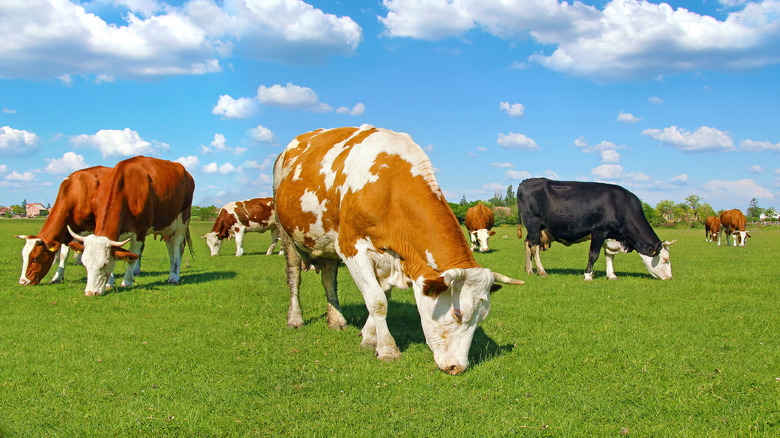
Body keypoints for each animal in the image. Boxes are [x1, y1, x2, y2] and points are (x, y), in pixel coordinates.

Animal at [68, 156, 194, 296]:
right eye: (84, 263)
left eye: (105, 264)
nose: (90, 292)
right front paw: (110, 283)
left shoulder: (140, 231)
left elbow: (133, 256)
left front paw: (127, 281)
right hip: (167, 227)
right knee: (170, 247)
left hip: (183, 218)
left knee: (177, 246)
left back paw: (174, 276)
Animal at [274, 125, 524, 374]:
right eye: (458, 313)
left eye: (482, 317)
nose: (458, 367)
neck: (389, 188)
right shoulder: (351, 247)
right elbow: (377, 301)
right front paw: (387, 350)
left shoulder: (391, 258)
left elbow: (381, 296)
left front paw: (369, 338)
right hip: (286, 233)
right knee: (294, 277)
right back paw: (295, 319)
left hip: (326, 246)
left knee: (328, 279)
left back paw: (336, 320)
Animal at [516, 178, 672, 280]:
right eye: (665, 259)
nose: (670, 278)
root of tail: (526, 181)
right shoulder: (599, 231)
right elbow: (594, 254)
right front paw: (588, 275)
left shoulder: (610, 235)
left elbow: (609, 255)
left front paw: (611, 275)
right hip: (533, 221)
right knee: (534, 246)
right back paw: (541, 271)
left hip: (537, 228)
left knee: (527, 243)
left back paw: (529, 270)